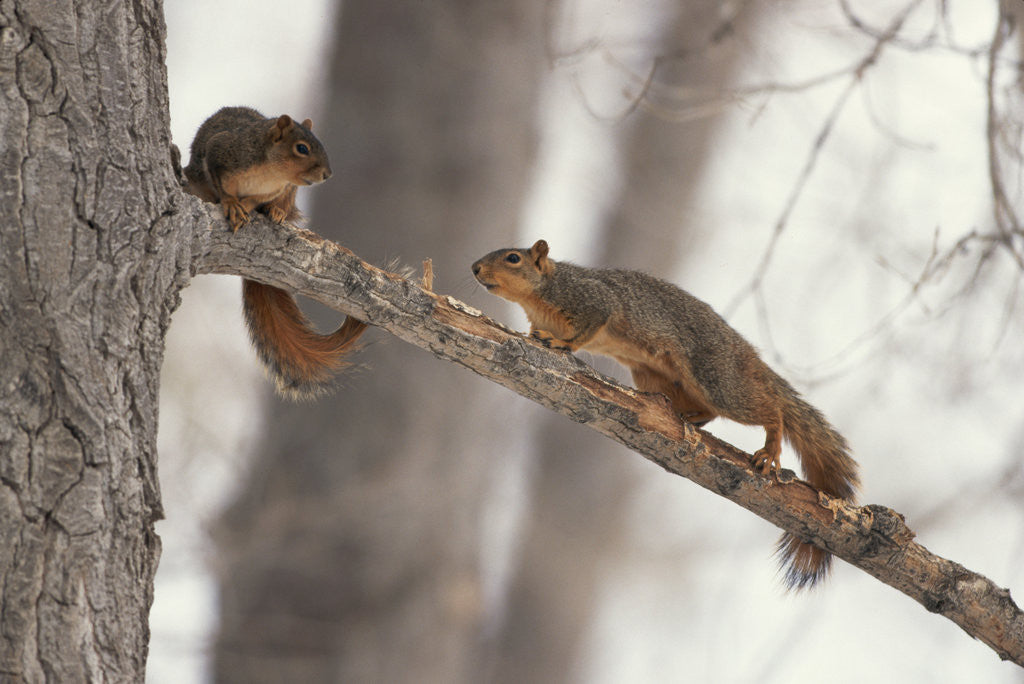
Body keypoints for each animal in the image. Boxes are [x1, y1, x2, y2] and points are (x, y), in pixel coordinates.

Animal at [183, 106, 366, 398]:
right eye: (301, 148)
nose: (327, 174)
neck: (270, 172)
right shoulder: (219, 151)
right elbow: (222, 186)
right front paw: (231, 203)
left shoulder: (277, 189)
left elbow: (257, 200)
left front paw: (250, 206)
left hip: (290, 195)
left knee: (283, 206)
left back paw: (277, 212)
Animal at [472, 239, 860, 589]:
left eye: (513, 258)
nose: (475, 268)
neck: (540, 295)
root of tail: (747, 356)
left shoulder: (593, 301)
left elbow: (587, 328)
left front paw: (563, 344)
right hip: (656, 376)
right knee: (708, 410)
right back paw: (688, 418)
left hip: (715, 378)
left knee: (770, 407)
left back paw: (770, 447)